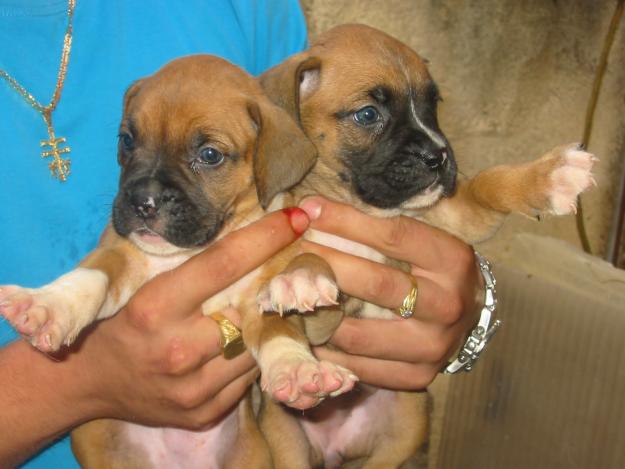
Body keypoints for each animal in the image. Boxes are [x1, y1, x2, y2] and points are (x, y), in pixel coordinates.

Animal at [258, 23, 596, 466]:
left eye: (432, 104)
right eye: (368, 114)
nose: (439, 156)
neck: (365, 209)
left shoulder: (454, 214)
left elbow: (489, 183)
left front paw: (549, 175)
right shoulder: (321, 327)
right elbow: (315, 256)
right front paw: (301, 278)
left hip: (409, 420)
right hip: (285, 441)